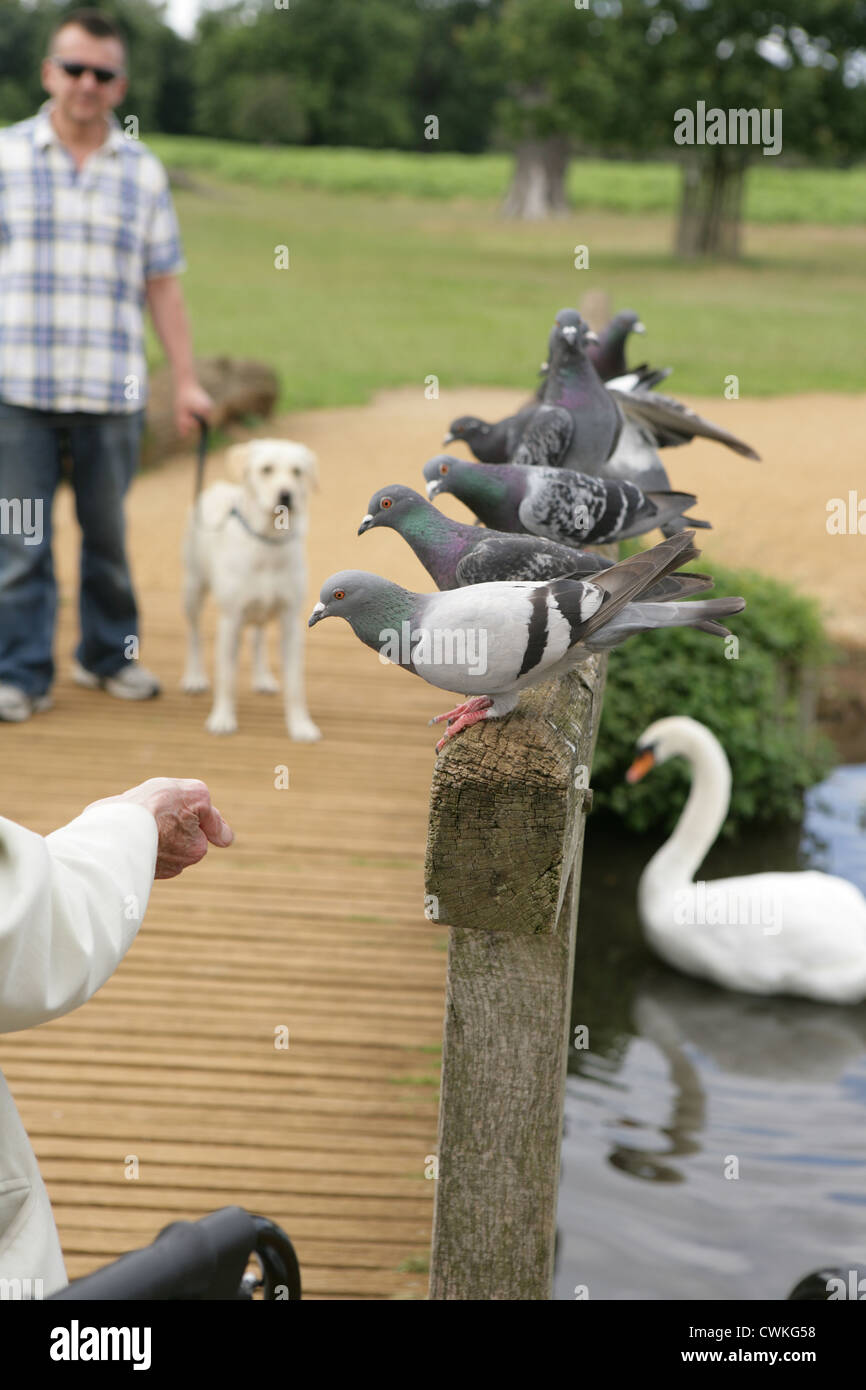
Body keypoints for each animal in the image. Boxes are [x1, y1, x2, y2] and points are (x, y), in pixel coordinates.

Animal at [182, 436, 322, 745]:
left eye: (297, 472)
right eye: (266, 469)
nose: (286, 495)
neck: (268, 543)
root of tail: (217, 486)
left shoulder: (291, 621)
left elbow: (296, 685)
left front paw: (300, 725)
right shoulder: (230, 620)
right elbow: (226, 678)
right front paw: (222, 719)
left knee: (257, 637)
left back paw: (262, 678)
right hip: (192, 591)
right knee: (195, 635)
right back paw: (194, 676)